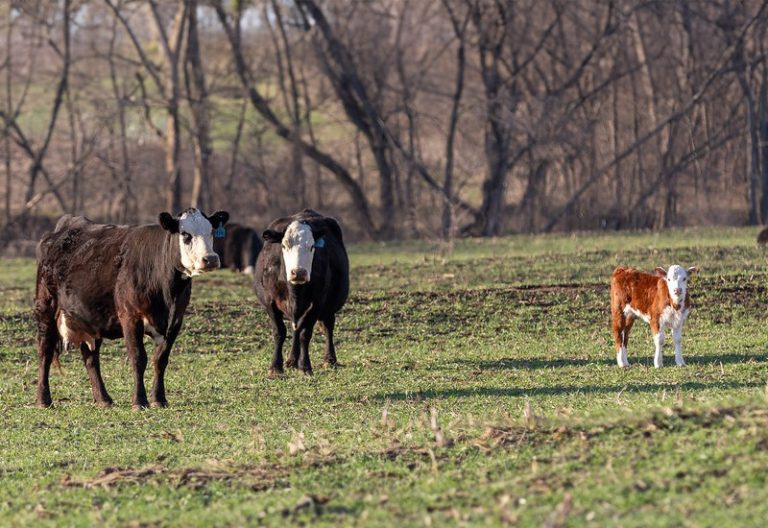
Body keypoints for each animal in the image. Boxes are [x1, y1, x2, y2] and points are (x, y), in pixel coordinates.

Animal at [34, 208, 229, 409]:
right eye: (185, 235)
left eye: (212, 231)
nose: (210, 259)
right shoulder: (130, 316)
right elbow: (138, 358)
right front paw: (139, 401)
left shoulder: (176, 319)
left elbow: (161, 359)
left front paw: (159, 399)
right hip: (46, 308)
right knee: (45, 351)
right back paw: (43, 399)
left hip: (89, 318)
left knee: (91, 357)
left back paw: (103, 399)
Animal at [254, 209, 349, 376]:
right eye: (284, 245)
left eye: (312, 246)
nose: (298, 272)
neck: (295, 292)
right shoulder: (270, 301)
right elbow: (279, 332)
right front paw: (276, 368)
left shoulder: (317, 303)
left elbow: (306, 333)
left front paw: (305, 366)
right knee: (295, 329)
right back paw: (292, 360)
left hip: (329, 307)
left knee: (327, 326)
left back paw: (329, 359)